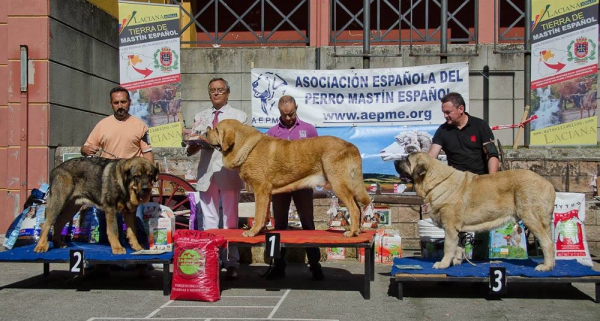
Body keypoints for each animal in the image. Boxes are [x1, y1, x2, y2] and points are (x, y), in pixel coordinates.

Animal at [206, 119, 370, 236]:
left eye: (216, 129)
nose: (206, 131)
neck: (246, 146)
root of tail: (350, 145)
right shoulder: (266, 193)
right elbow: (265, 213)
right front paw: (262, 230)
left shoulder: (260, 190)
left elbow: (258, 213)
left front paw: (252, 232)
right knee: (357, 208)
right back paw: (357, 231)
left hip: (338, 185)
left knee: (354, 209)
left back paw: (351, 233)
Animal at [394, 152, 556, 270]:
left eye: (407, 159)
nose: (394, 161)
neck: (436, 181)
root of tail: (548, 184)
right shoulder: (458, 229)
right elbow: (459, 246)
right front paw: (457, 261)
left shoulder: (450, 227)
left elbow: (448, 247)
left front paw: (443, 264)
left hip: (531, 217)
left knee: (547, 242)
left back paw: (545, 266)